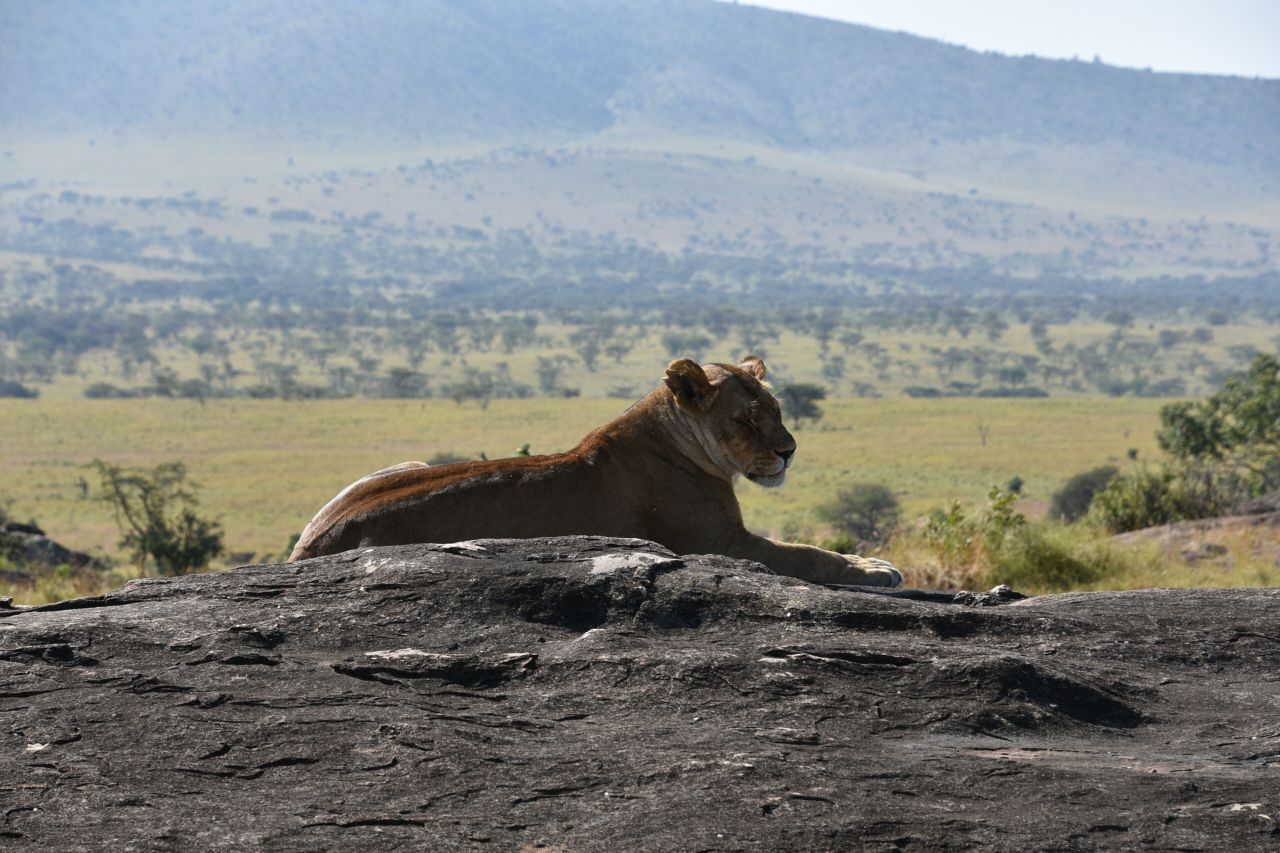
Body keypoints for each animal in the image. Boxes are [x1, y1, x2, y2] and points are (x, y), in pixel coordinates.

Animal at [288, 356, 902, 587]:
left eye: (777, 409)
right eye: (747, 420)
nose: (790, 451)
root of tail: (305, 548)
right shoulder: (720, 542)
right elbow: (807, 554)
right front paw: (875, 568)